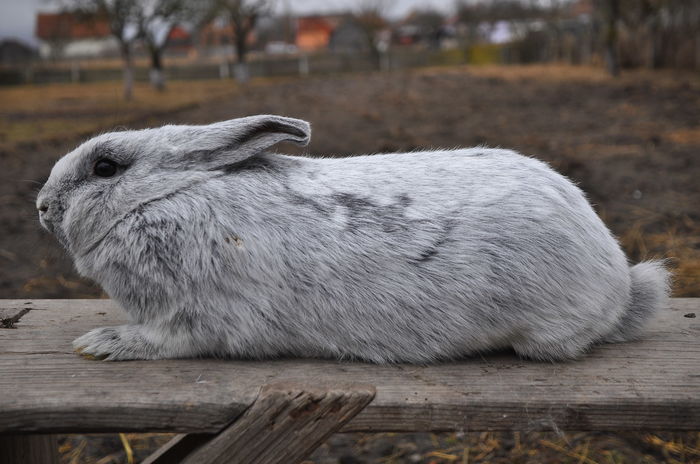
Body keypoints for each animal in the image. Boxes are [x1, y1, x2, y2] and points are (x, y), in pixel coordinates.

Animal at [35, 116, 668, 362]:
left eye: (106, 168)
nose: (42, 207)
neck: (161, 199)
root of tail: (618, 280)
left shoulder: (190, 320)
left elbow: (162, 340)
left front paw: (100, 343)